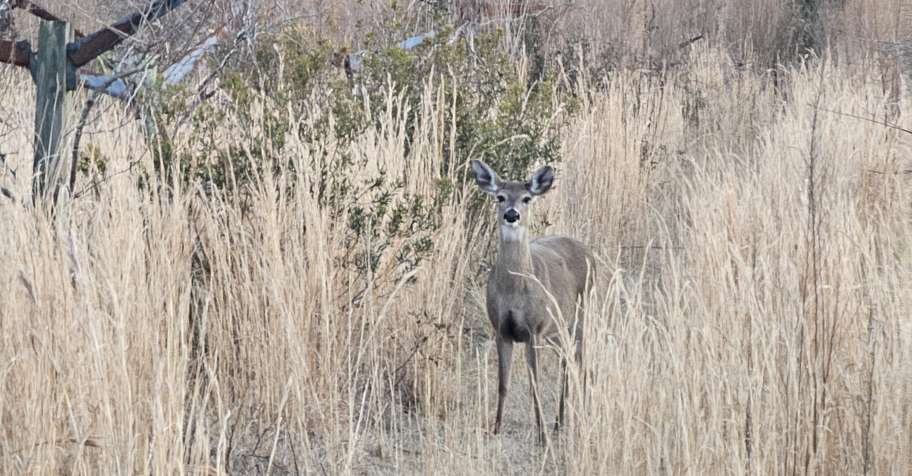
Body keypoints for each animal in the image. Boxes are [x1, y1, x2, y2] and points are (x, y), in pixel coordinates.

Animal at [470, 159, 596, 444]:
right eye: (500, 197)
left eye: (526, 198)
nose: (512, 214)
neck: (515, 292)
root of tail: (589, 252)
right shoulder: (502, 330)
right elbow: (503, 384)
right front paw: (495, 428)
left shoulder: (534, 329)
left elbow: (534, 383)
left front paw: (541, 435)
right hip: (558, 330)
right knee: (567, 361)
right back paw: (559, 423)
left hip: (581, 316)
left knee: (580, 363)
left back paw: (577, 419)